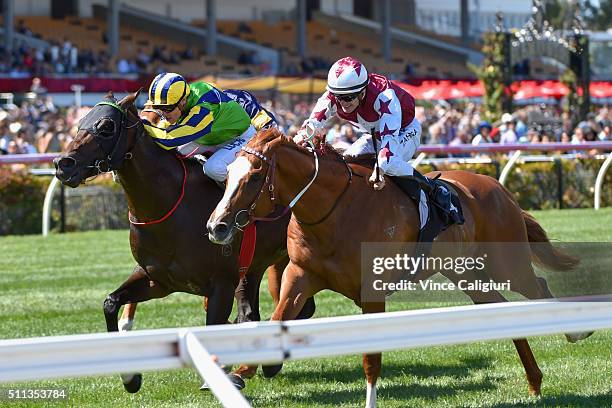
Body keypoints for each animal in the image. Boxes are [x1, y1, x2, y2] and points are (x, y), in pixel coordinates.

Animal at [53, 91, 316, 392]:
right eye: (80, 122)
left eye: (106, 126)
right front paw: (131, 378)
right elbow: (110, 302)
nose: (63, 164)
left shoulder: (221, 282)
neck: (170, 206)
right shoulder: (158, 280)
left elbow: (215, 324)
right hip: (259, 265)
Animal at [207, 130, 592, 408]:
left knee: (538, 285)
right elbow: (277, 317)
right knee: (503, 309)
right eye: (227, 176)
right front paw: (241, 372)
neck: (334, 210)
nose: (216, 227)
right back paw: (535, 382)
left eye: (254, 178)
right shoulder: (299, 275)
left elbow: (371, 359)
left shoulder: (371, 291)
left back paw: (577, 331)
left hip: (505, 263)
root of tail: (499, 187)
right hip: (464, 272)